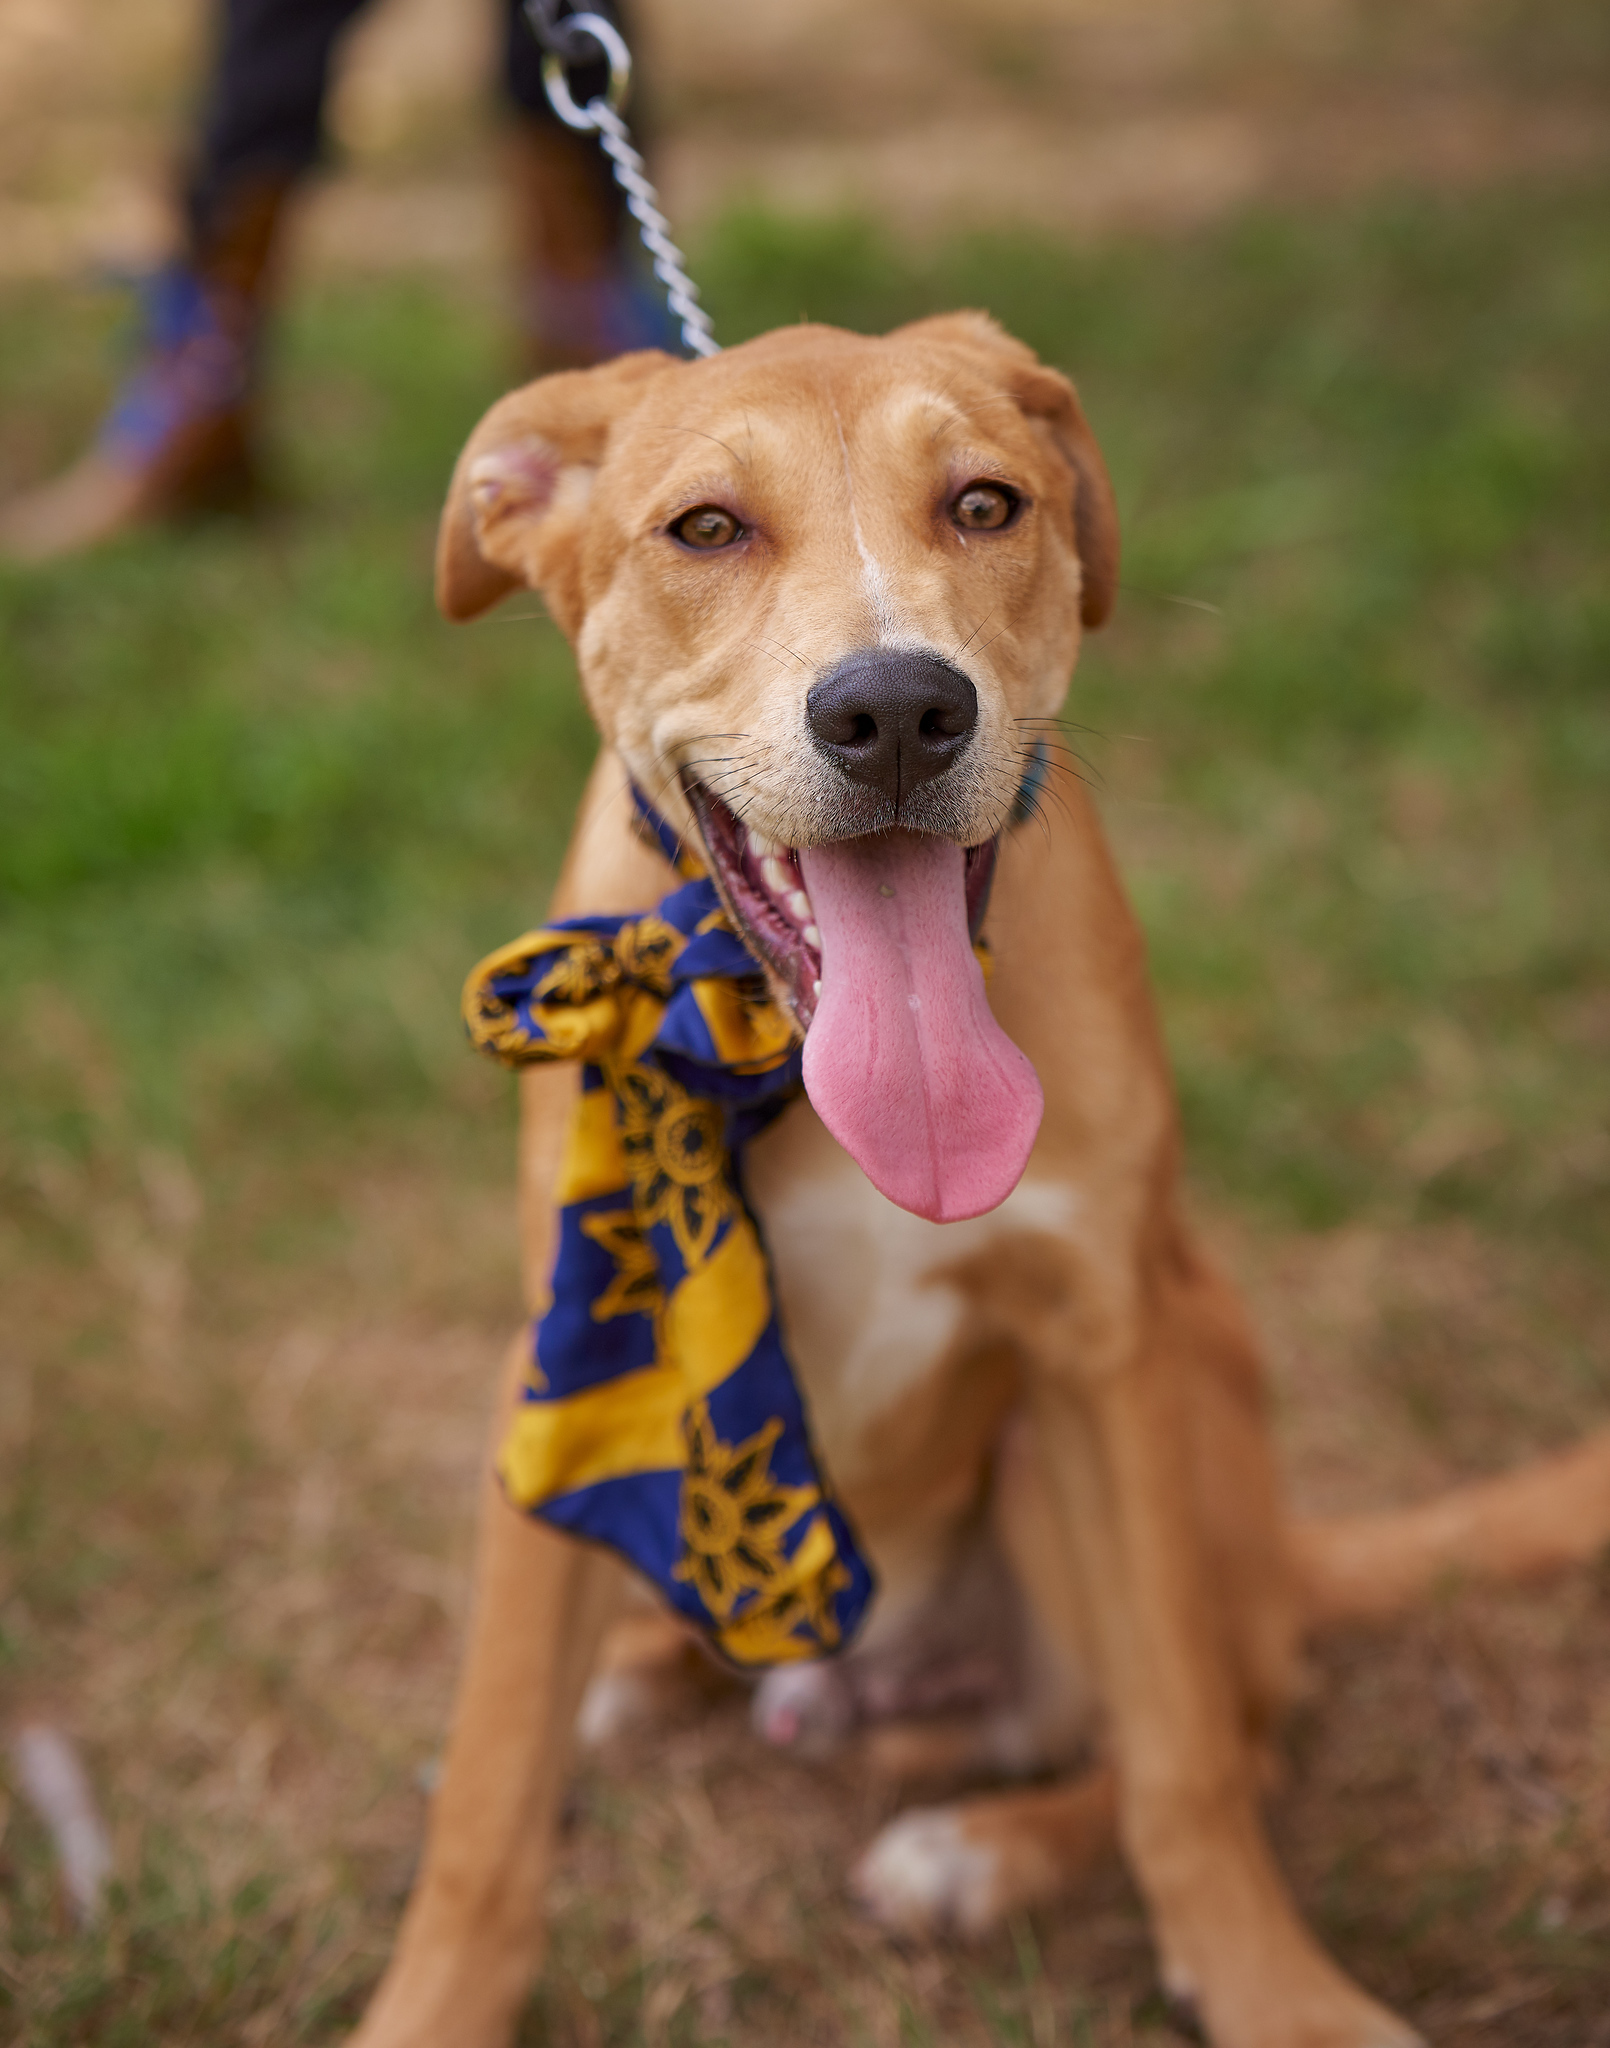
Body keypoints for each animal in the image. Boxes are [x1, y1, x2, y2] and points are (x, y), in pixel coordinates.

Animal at [352, 315, 1605, 2048]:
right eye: (704, 529)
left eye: (985, 504)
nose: (894, 710)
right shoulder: (564, 1352)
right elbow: (485, 1800)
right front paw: (430, 2007)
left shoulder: (1099, 1341)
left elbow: (1184, 1759)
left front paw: (1277, 1993)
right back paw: (658, 1671)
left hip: (1133, 1411)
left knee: (1231, 1715)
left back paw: (982, 1850)